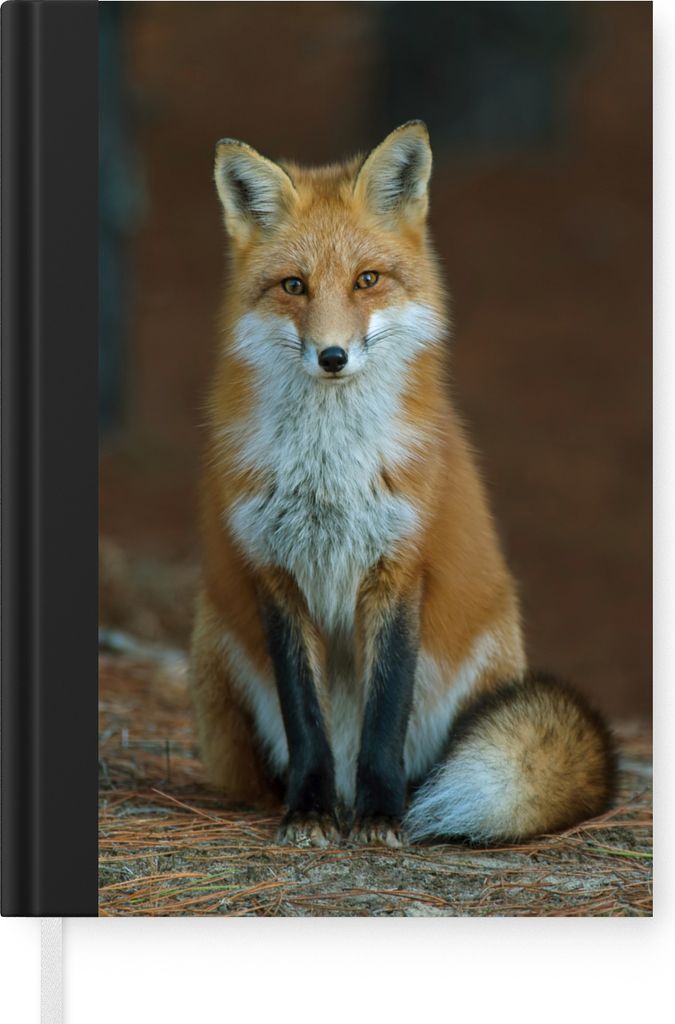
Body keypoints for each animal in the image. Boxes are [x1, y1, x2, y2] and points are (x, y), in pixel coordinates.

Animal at [190, 121, 615, 848]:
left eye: (367, 280)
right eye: (294, 285)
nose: (332, 356)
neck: (328, 472)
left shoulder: (398, 566)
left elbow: (383, 717)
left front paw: (381, 814)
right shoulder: (275, 573)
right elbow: (305, 723)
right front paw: (308, 810)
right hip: (213, 635)